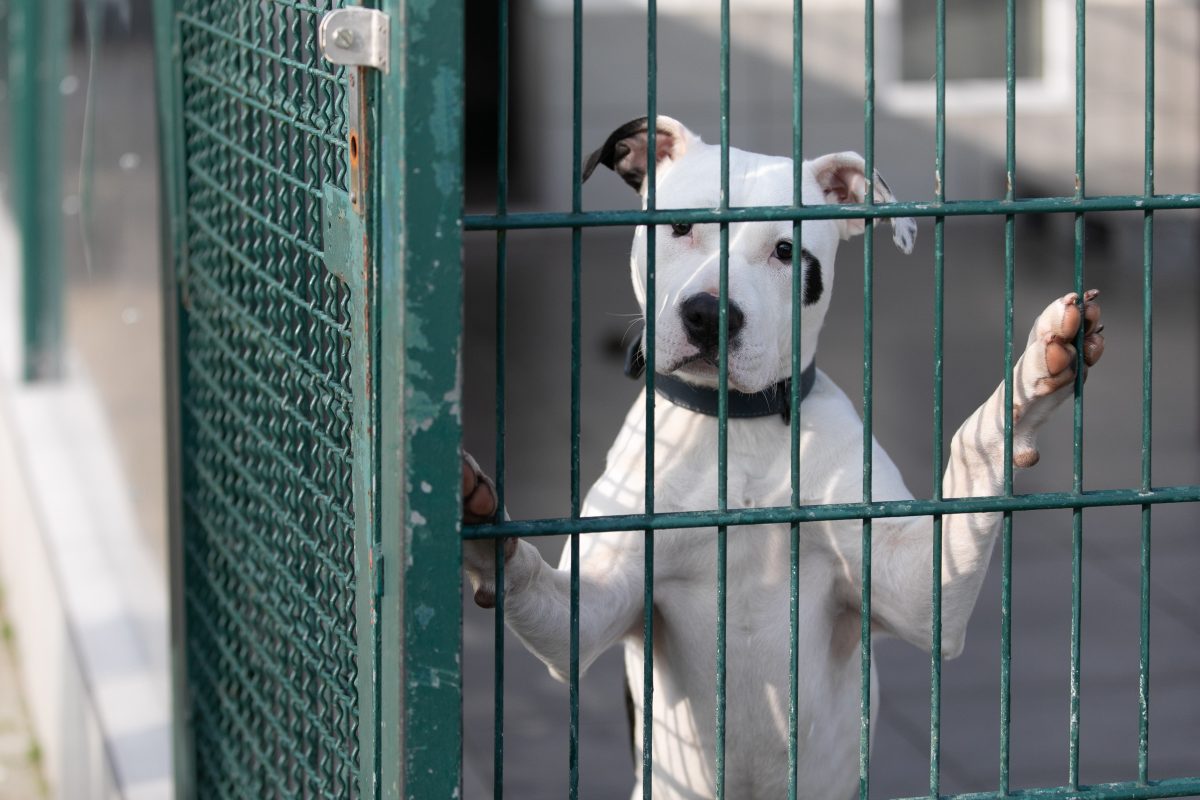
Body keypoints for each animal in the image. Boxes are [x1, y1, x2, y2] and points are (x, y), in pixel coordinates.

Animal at [458, 115, 1104, 796]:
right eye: (680, 226)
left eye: (787, 251)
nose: (708, 314)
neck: (739, 429)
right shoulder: (586, 617)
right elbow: (530, 582)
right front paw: (477, 521)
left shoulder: (921, 590)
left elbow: (973, 452)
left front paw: (1034, 375)